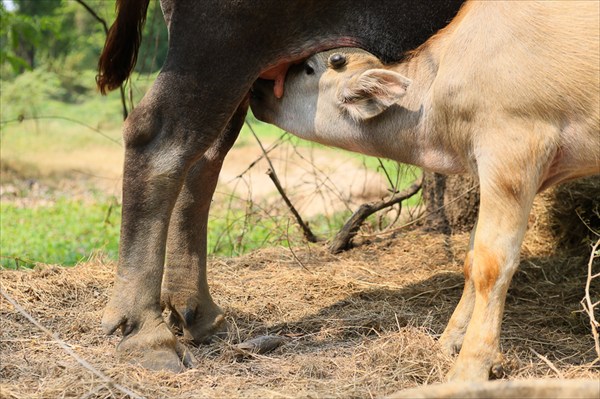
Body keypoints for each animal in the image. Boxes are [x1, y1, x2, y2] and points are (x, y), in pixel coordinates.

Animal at [250, 0, 600, 382]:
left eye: (308, 68)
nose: (257, 88)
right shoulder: (488, 170)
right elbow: (471, 258)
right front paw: (451, 342)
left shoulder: (513, 154)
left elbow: (492, 264)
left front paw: (471, 366)